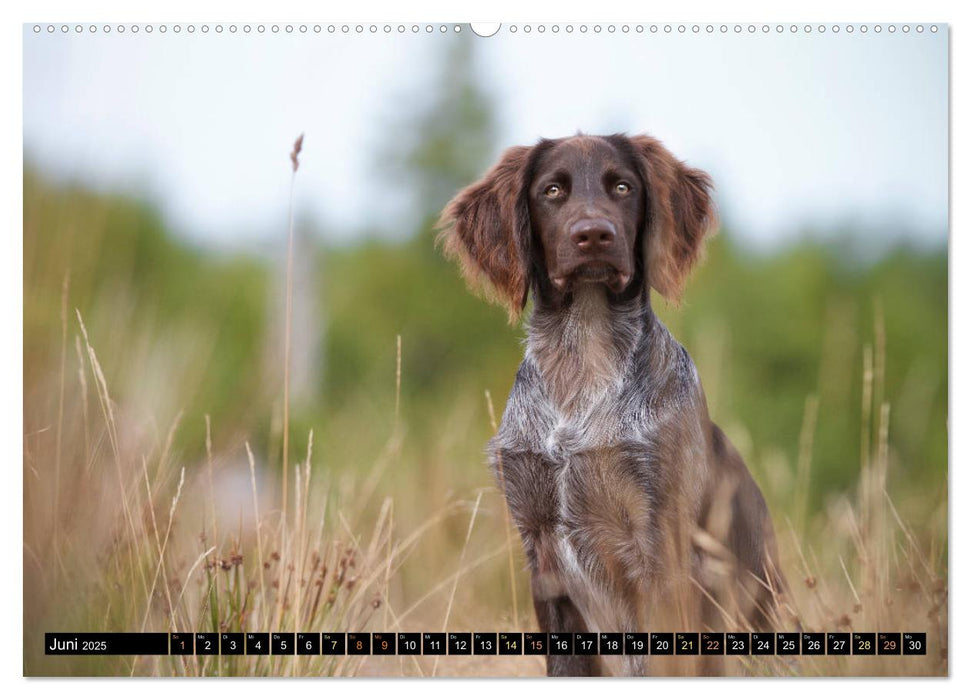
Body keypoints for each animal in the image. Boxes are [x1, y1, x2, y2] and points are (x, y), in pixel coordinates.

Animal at [440, 134, 788, 676]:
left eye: (623, 187)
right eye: (552, 190)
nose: (593, 234)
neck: (582, 364)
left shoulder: (660, 550)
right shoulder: (541, 553)